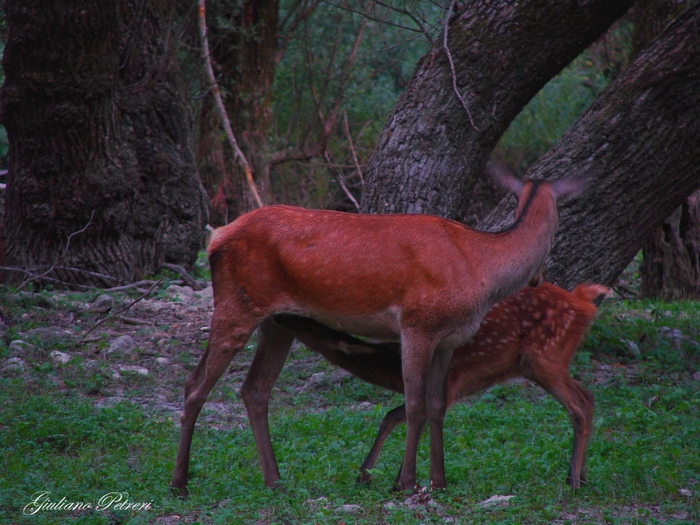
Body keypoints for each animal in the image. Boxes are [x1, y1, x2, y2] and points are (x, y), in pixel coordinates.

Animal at [274, 282, 608, 488]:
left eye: (305, 322)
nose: (277, 314)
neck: (389, 365)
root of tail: (583, 302)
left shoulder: (449, 385)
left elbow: (401, 415)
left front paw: (382, 478)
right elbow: (398, 415)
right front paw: (381, 477)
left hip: (545, 355)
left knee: (579, 406)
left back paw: (573, 482)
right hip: (539, 364)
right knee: (589, 397)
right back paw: (582, 475)